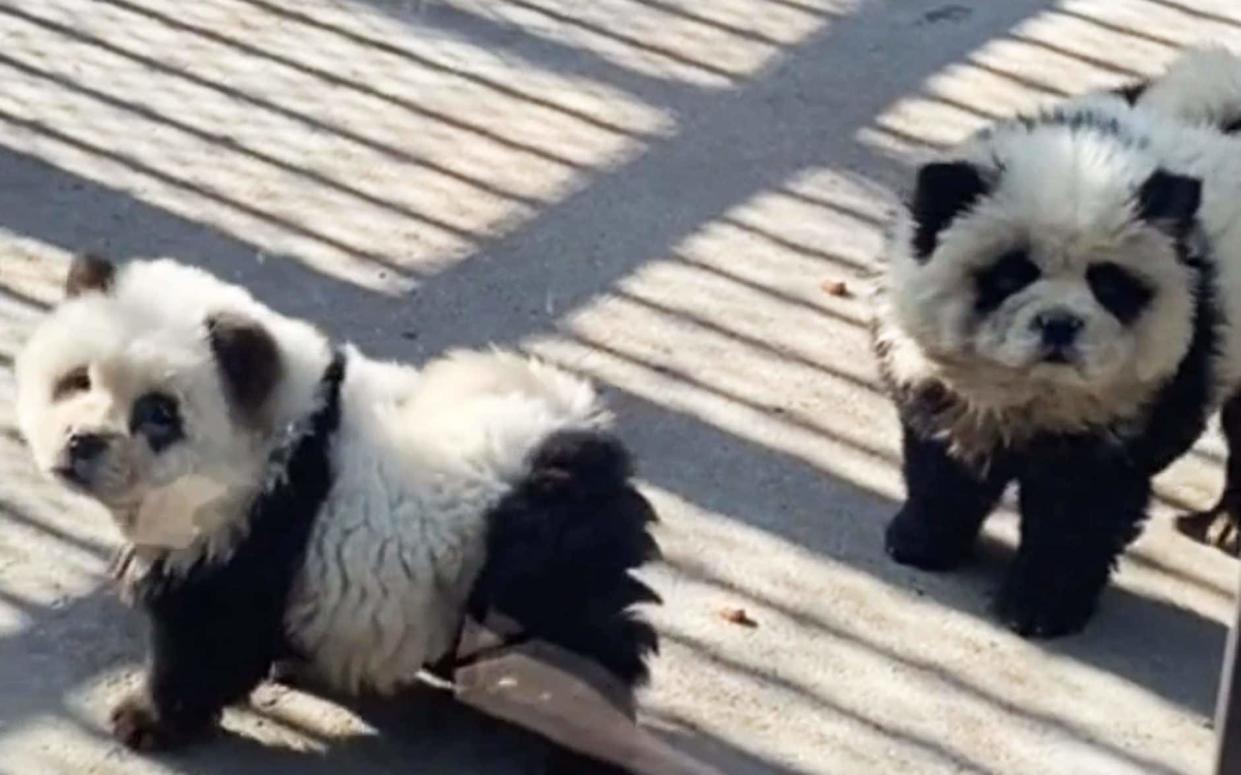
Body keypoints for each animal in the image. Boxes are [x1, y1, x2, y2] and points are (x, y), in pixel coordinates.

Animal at [16, 255, 660, 770]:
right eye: (75, 381)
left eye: (157, 412)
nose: (82, 443)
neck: (280, 430)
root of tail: (582, 438)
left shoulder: (256, 527)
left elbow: (209, 638)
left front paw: (145, 720)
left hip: (536, 565)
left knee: (580, 647)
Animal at [873, 51, 1241, 640]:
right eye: (1011, 273)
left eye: (1108, 283)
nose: (1060, 325)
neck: (1036, 392)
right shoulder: (941, 384)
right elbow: (943, 467)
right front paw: (921, 542)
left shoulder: (1131, 409)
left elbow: (1077, 515)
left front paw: (1038, 608)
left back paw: (1225, 525)